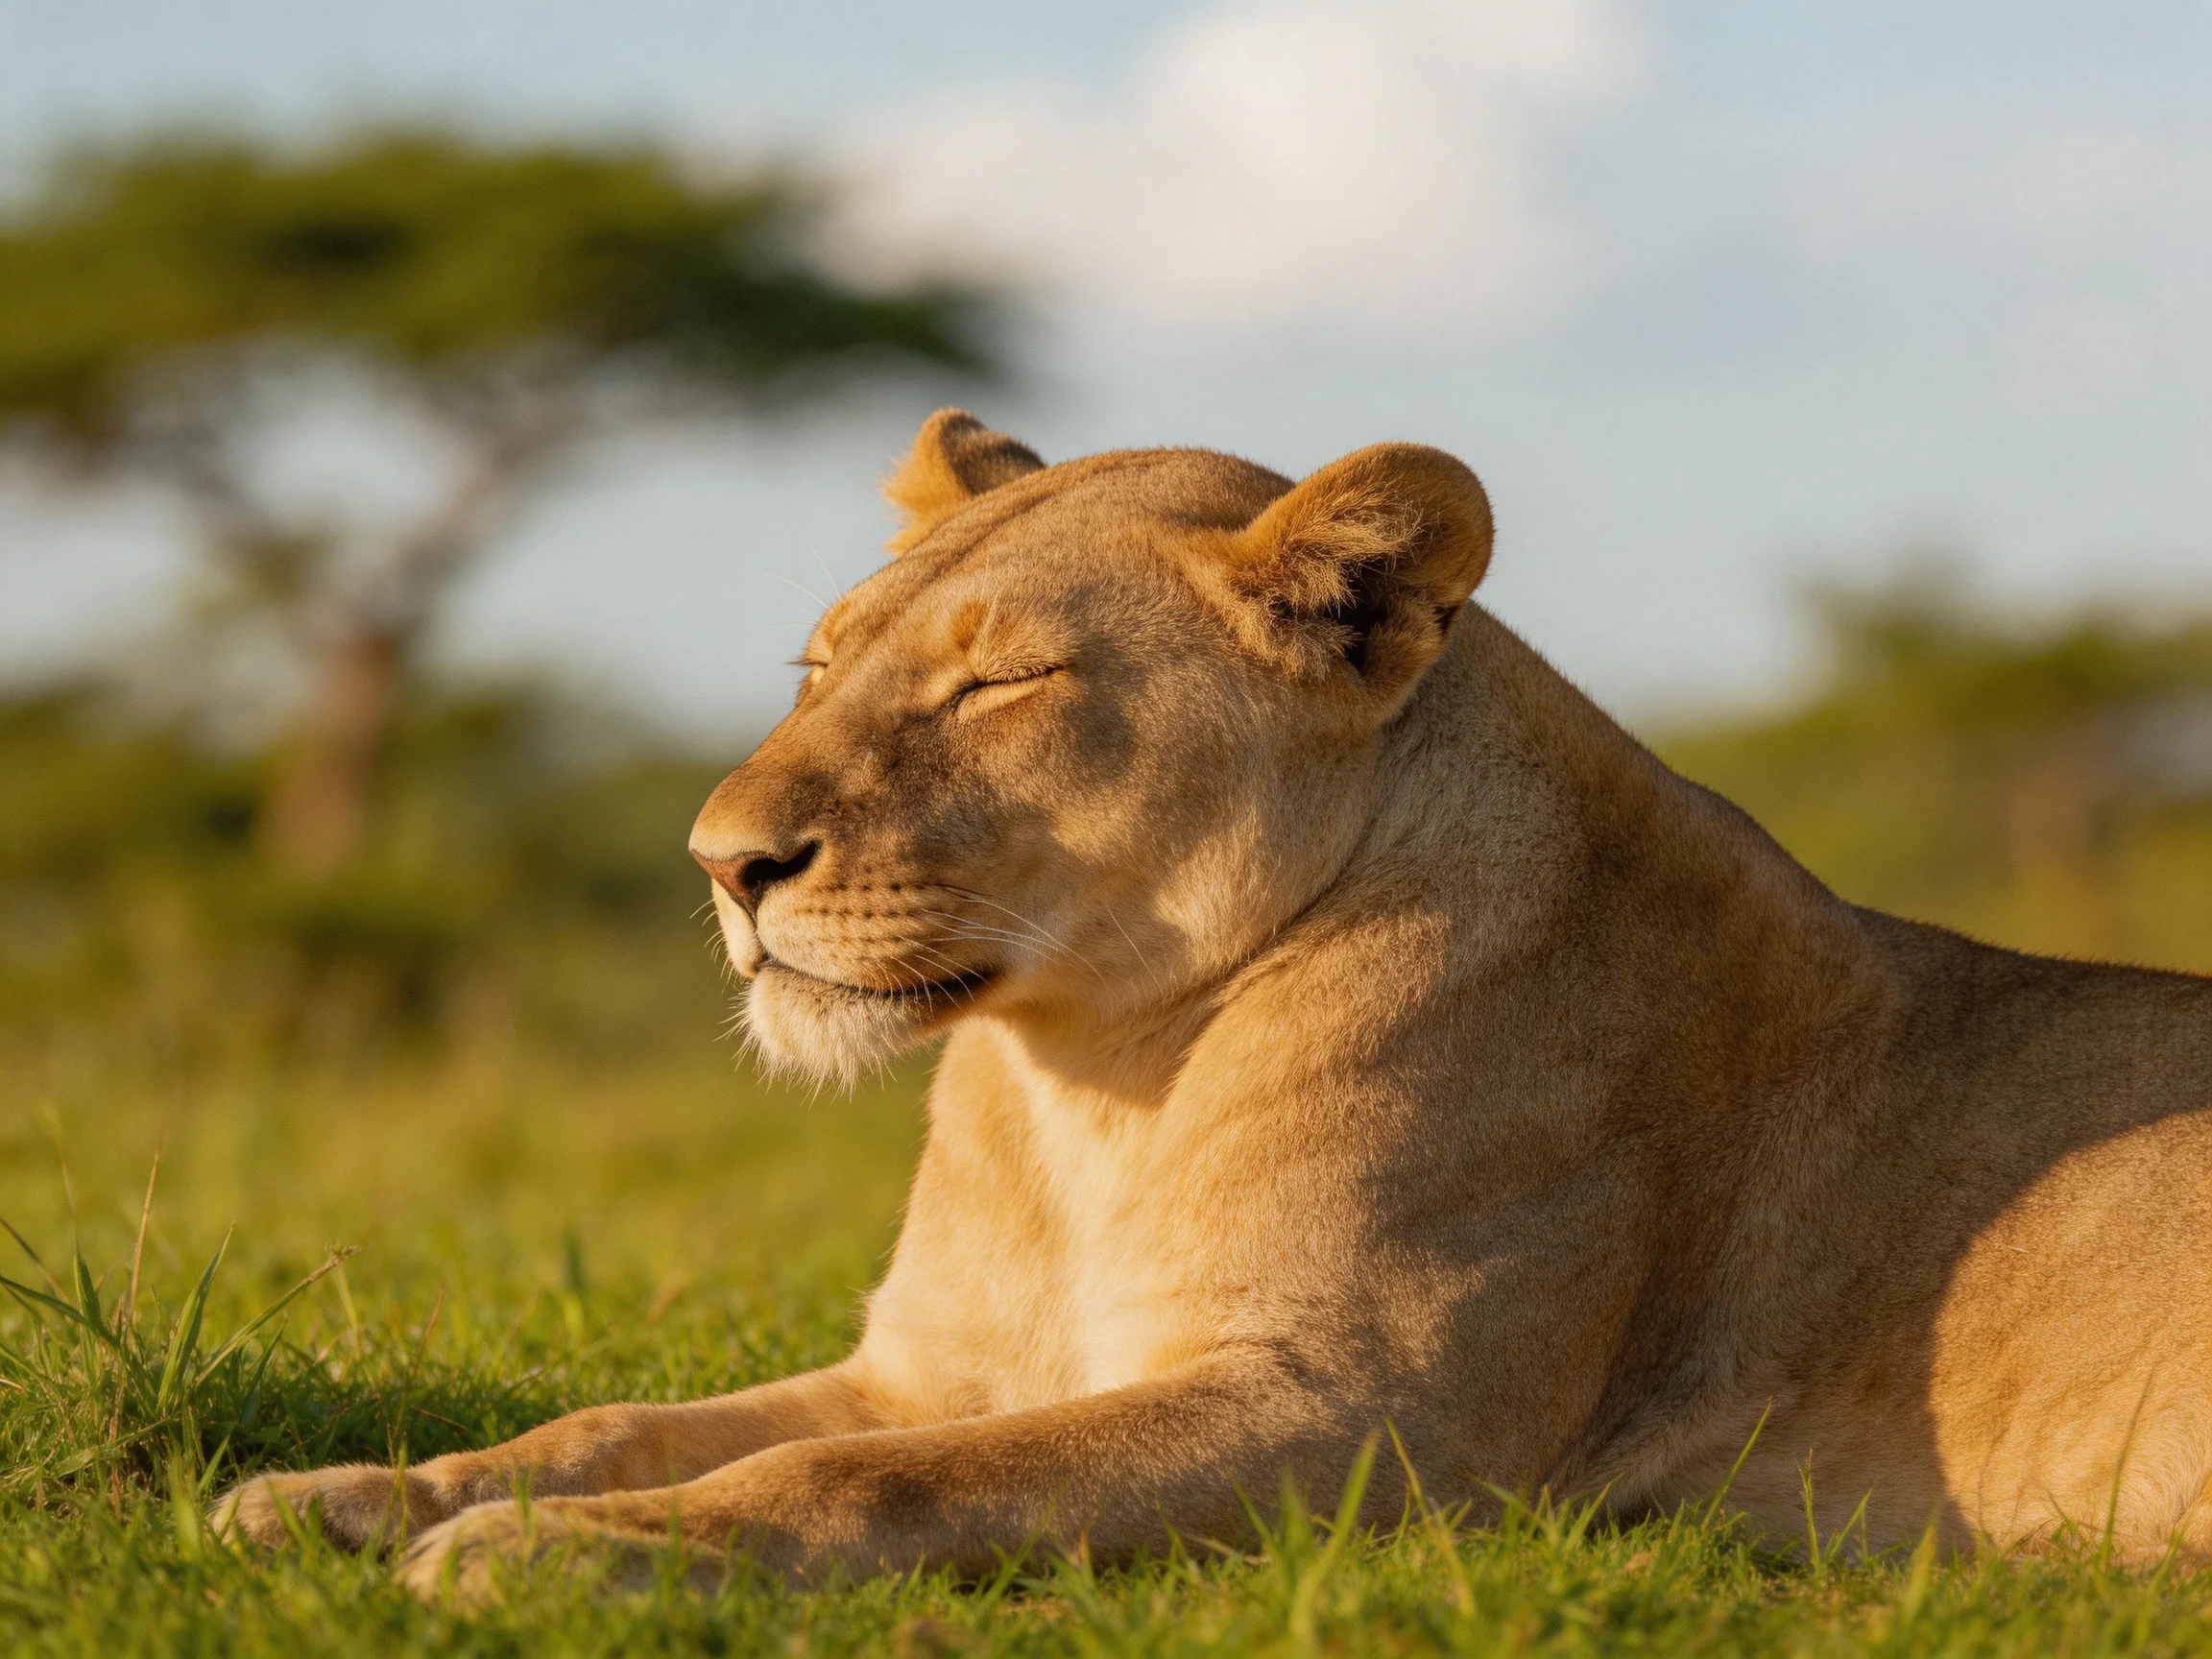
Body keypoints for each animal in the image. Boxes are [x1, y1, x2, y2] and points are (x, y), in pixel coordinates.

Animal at [214, 410, 2212, 1596]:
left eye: (996, 684)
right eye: (816, 660)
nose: (720, 861)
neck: (1084, 1071)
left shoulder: (1363, 1423)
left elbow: (867, 1483)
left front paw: (548, 1555)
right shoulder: (922, 1360)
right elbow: (624, 1417)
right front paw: (349, 1491)